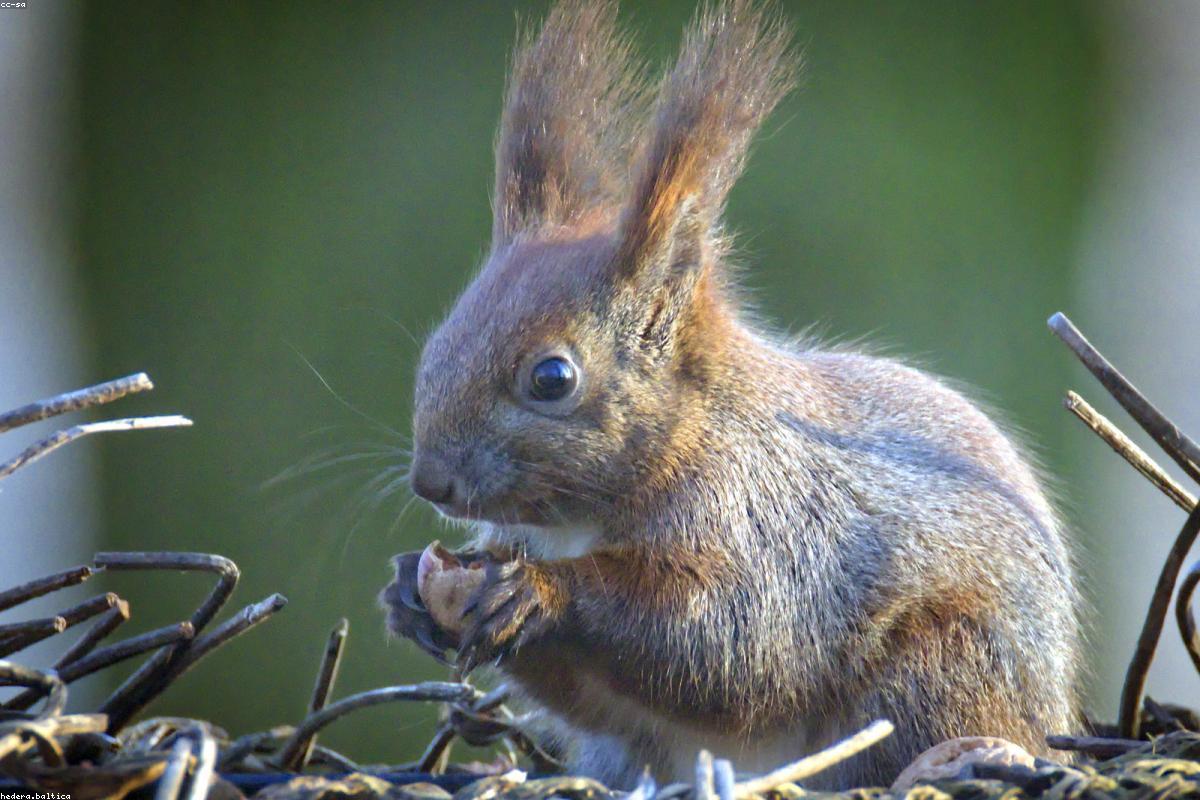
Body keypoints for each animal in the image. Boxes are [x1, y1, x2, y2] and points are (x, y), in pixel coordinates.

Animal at [380, 0, 1082, 789]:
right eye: (437, 344)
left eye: (552, 378)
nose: (430, 481)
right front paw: (409, 592)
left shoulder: (774, 532)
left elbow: (728, 642)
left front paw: (535, 592)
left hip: (939, 668)